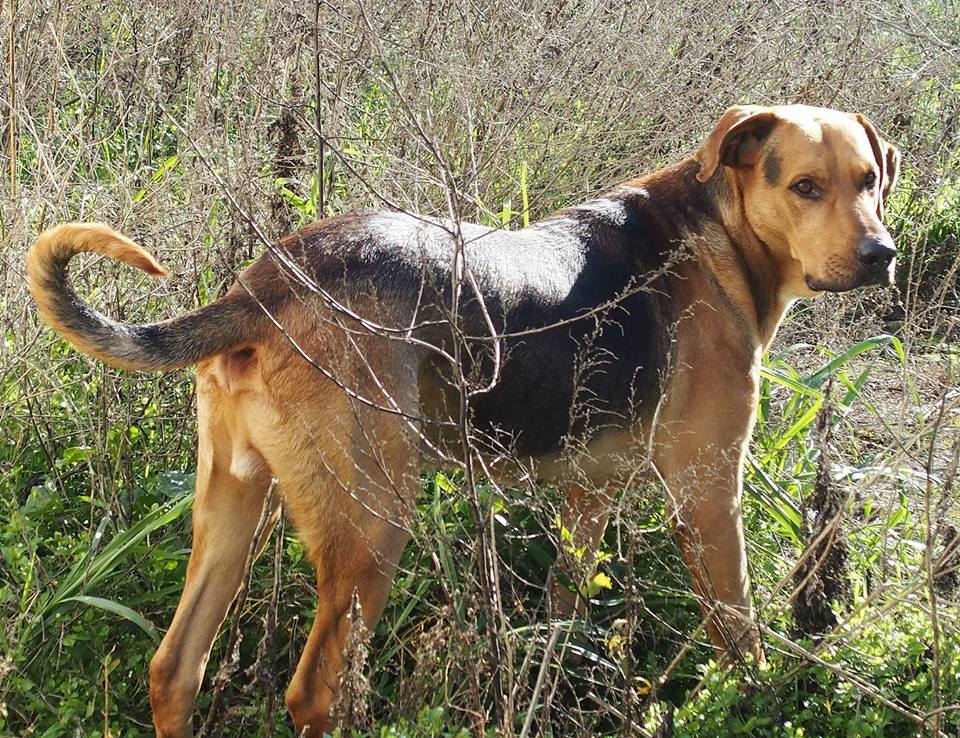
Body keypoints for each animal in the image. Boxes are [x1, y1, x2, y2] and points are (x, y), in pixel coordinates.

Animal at [30, 105, 900, 736]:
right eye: (805, 187)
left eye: (869, 180)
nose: (881, 255)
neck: (717, 234)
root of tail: (266, 286)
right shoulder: (708, 501)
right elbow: (741, 639)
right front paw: (763, 704)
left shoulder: (587, 500)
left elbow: (561, 612)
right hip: (372, 529)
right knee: (313, 695)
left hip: (234, 508)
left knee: (174, 669)